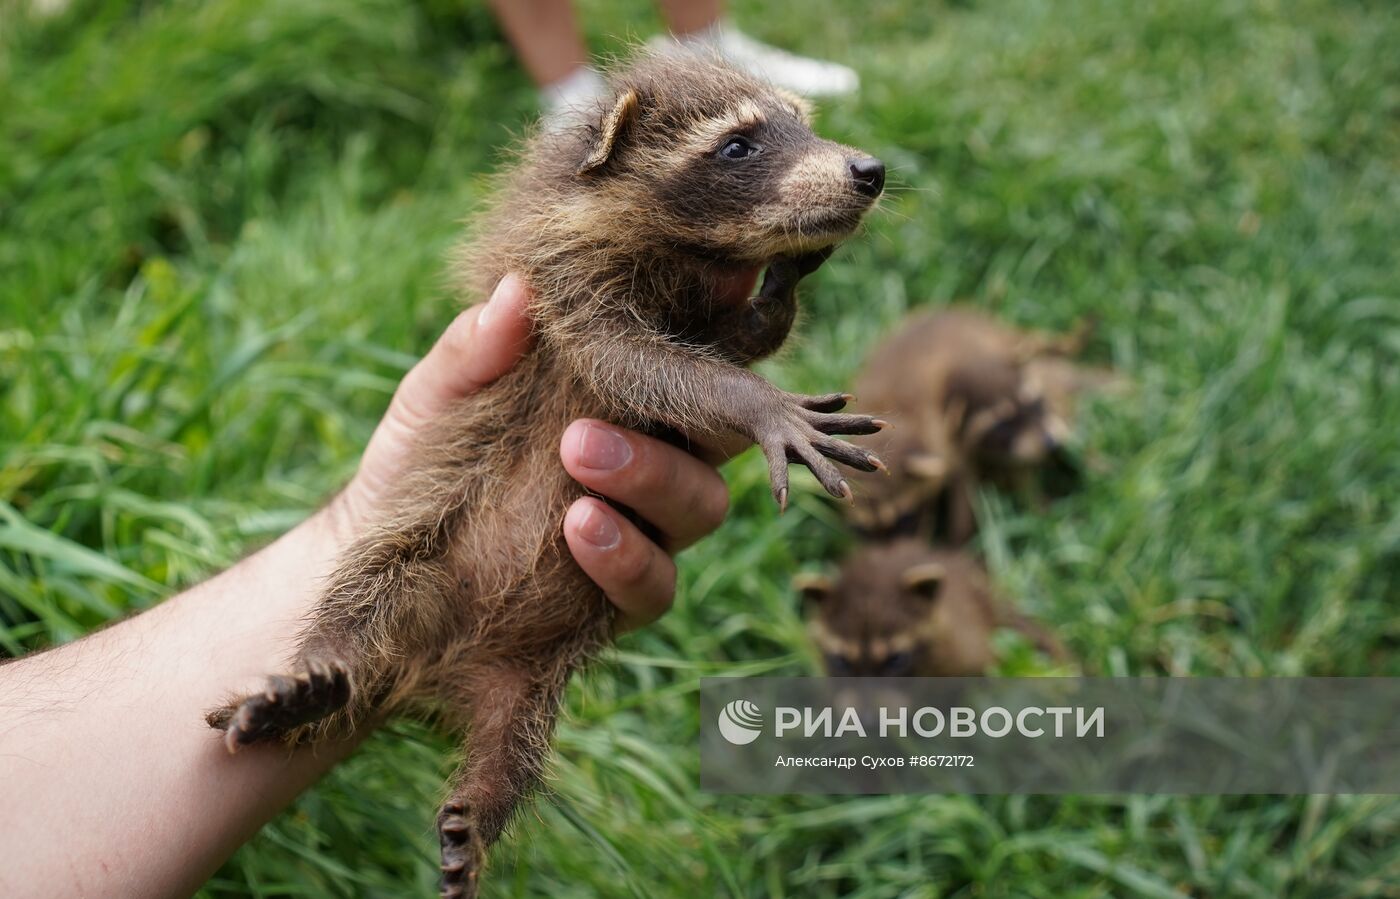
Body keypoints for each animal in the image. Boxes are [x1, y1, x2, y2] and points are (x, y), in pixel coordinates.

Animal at [204, 52, 884, 890]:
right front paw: (758, 403)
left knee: (515, 751)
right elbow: (636, 364)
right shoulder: (561, 289)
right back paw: (311, 680)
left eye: (803, 122)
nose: (870, 169)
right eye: (738, 146)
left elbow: (738, 341)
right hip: (422, 548)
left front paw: (781, 287)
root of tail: (427, 673)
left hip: (530, 679)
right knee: (361, 593)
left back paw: (481, 811)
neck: (687, 253)